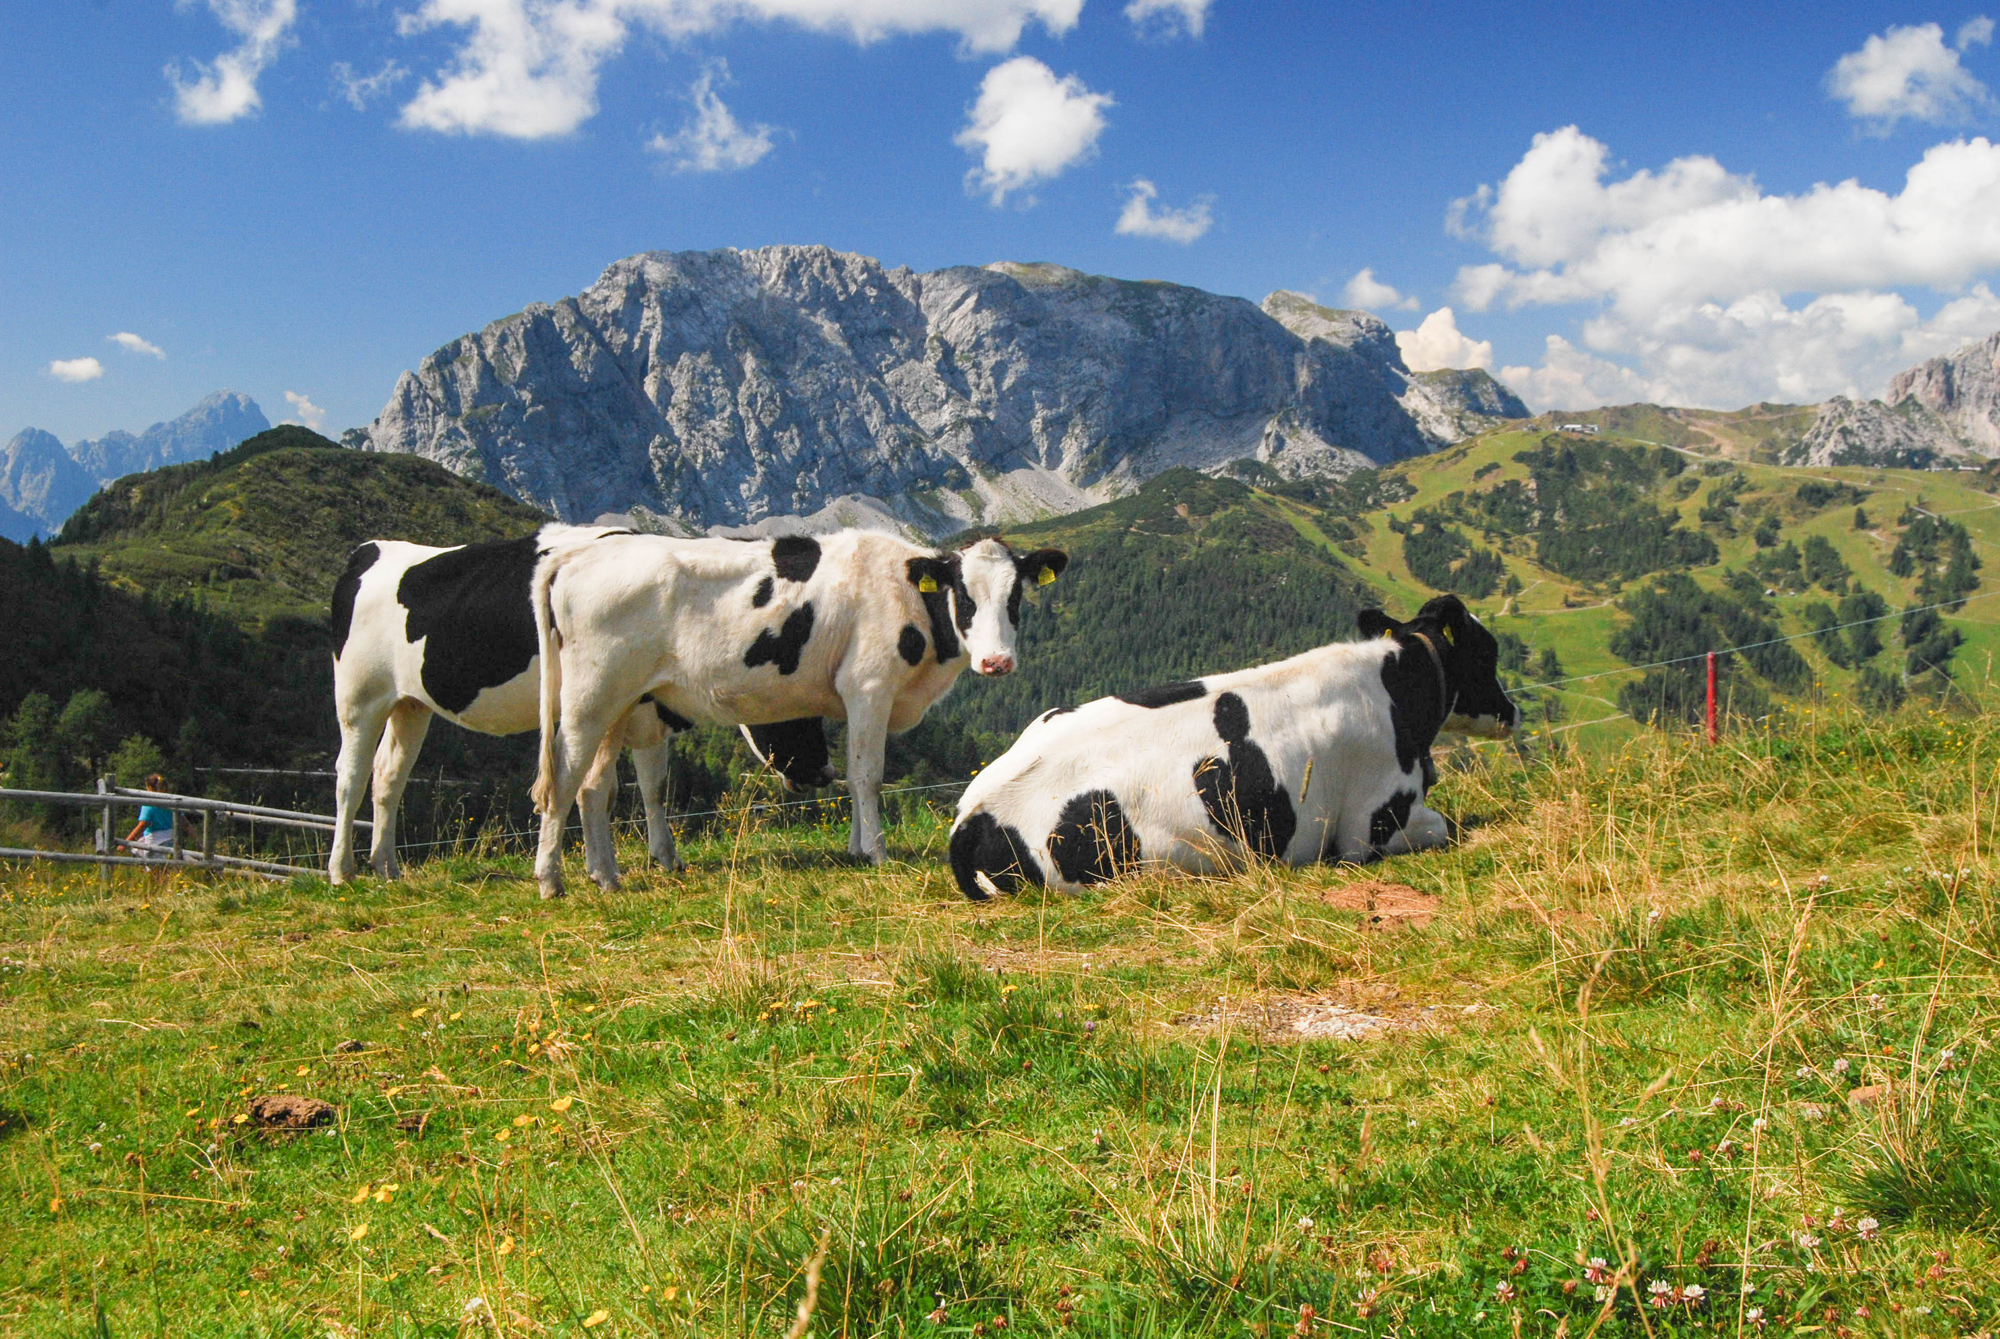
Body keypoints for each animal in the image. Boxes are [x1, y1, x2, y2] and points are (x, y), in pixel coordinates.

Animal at [332, 527, 832, 891]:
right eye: (796, 706)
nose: (823, 773)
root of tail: (371, 550)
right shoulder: (618, 707)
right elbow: (599, 787)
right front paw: (604, 869)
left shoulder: (643, 714)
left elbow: (649, 787)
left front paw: (663, 858)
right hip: (358, 697)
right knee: (350, 777)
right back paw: (343, 872)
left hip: (409, 704)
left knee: (388, 776)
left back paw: (386, 868)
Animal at [528, 531, 1064, 895]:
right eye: (965, 595)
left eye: (1016, 596)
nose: (997, 662)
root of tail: (578, 554)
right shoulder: (869, 686)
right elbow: (868, 776)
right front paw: (877, 852)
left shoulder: (854, 699)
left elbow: (852, 775)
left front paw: (855, 847)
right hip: (589, 699)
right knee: (563, 779)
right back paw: (551, 879)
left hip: (618, 704)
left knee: (594, 786)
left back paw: (606, 876)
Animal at [944, 599, 1504, 903]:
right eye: (1488, 651)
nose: (1512, 711)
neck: (1393, 689)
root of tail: (970, 815)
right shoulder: (1372, 826)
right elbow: (1446, 827)